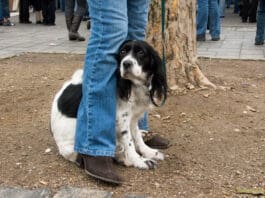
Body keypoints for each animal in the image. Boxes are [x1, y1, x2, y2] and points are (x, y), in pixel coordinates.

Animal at [50, 40, 166, 169]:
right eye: (122, 51)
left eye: (141, 52)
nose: (126, 63)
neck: (133, 85)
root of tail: (61, 147)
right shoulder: (122, 117)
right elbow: (129, 141)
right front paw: (139, 160)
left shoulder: (133, 116)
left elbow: (136, 136)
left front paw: (148, 151)